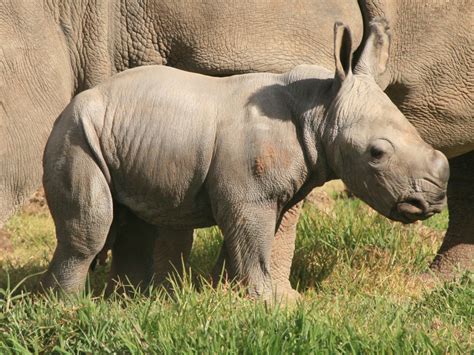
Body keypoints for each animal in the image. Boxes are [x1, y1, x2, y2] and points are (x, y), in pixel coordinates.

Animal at [1, 0, 472, 290]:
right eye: (376, 154)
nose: (430, 200)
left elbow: (264, 228)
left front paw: (239, 296)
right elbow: (224, 222)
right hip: (78, 135)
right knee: (94, 223)